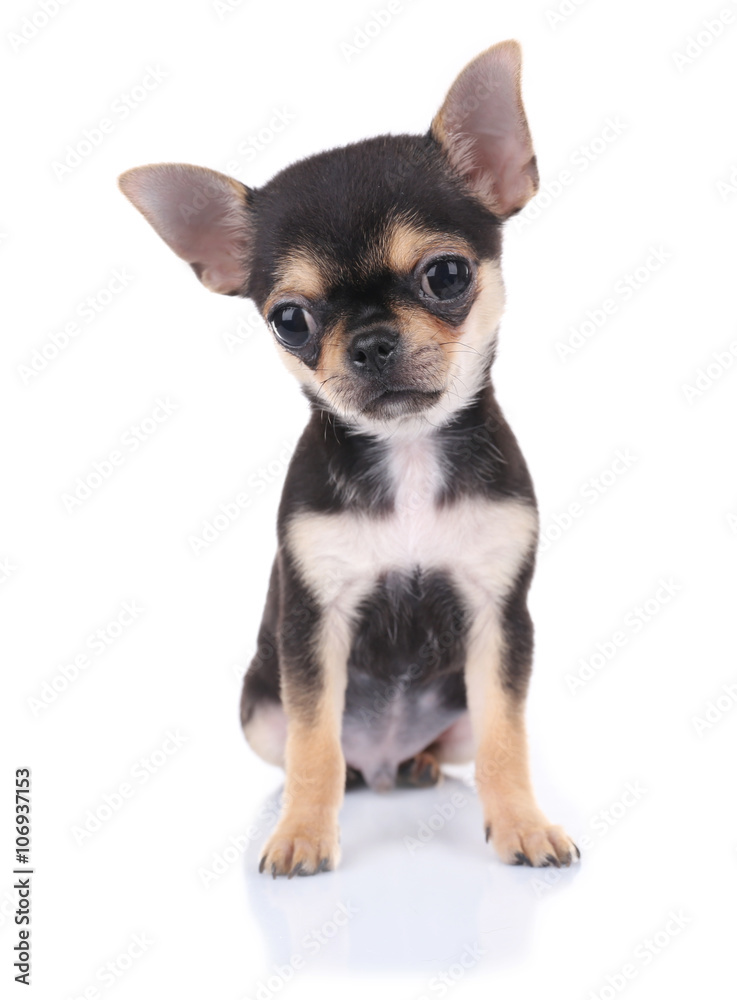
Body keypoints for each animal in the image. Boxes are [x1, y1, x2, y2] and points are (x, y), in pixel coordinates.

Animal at [121, 43, 576, 880]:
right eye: (289, 320)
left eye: (446, 275)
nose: (367, 342)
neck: (408, 454)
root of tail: (385, 763)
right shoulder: (311, 628)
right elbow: (313, 744)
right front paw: (302, 832)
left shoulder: (499, 624)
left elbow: (506, 740)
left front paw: (522, 824)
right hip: (256, 709)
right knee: (330, 755)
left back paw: (420, 765)